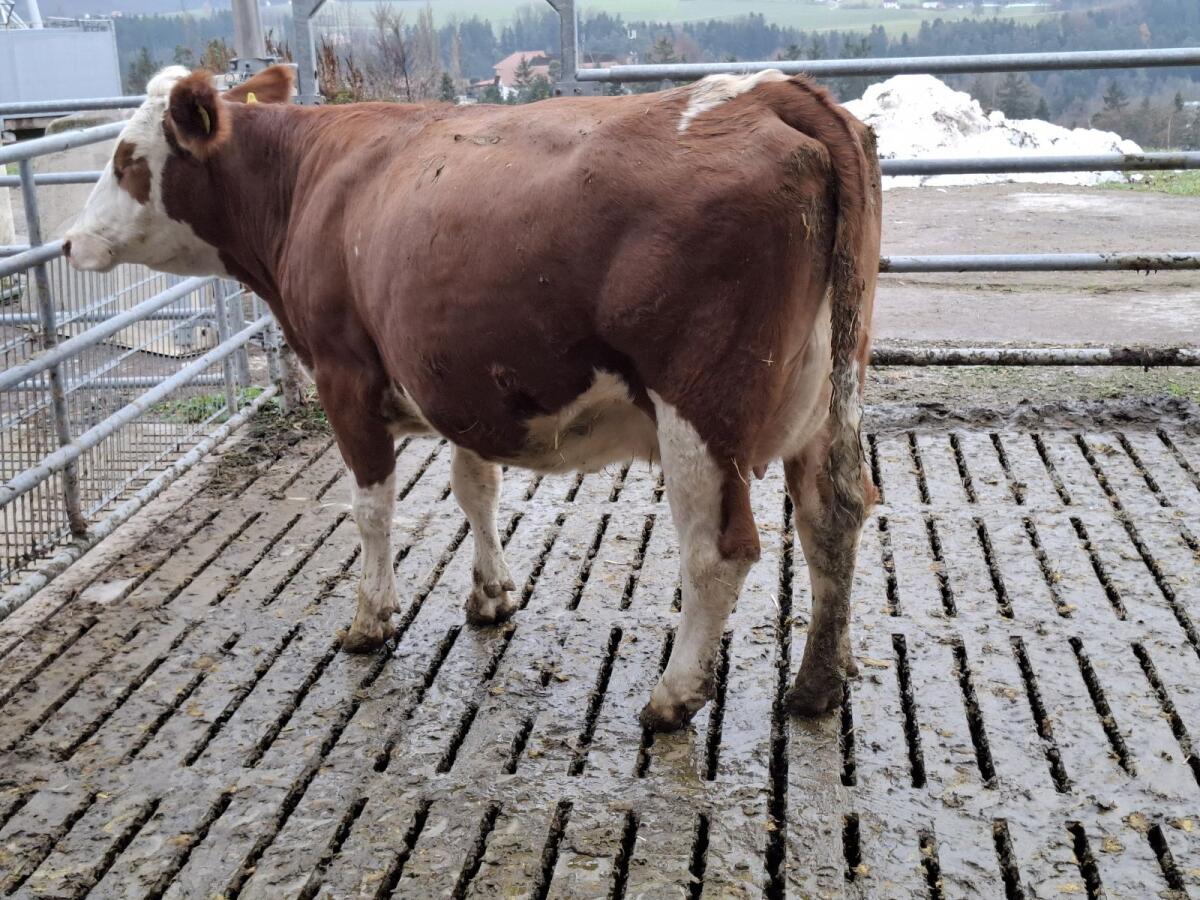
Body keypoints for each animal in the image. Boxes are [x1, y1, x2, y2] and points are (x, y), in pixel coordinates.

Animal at [64, 64, 882, 732]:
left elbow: (371, 508)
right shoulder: (456, 379)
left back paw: (673, 695)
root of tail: (768, 90)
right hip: (830, 393)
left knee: (718, 551)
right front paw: (492, 595)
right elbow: (475, 487)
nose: (70, 243)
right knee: (835, 513)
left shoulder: (344, 373)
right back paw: (818, 681)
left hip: (701, 407)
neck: (306, 182)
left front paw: (370, 619)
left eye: (125, 160)